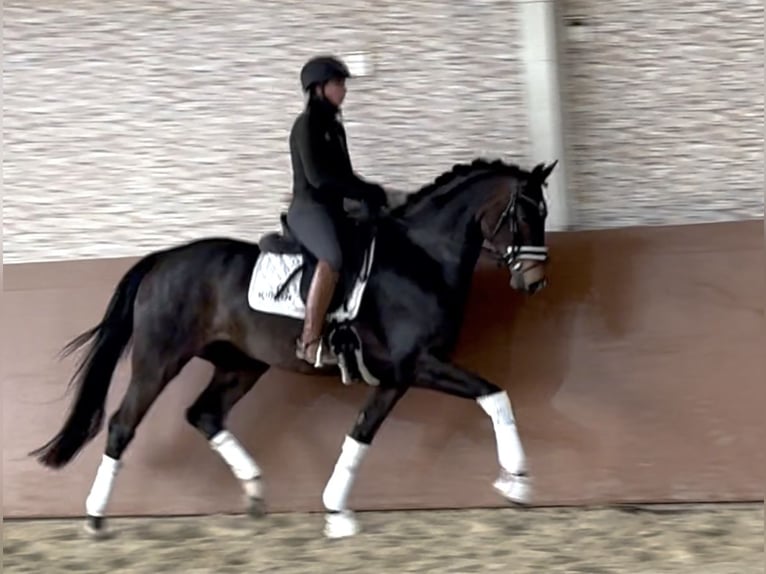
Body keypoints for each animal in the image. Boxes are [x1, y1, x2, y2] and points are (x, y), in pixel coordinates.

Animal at [30, 156, 560, 540]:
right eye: (525, 213)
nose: (535, 282)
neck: (422, 260)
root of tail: (162, 259)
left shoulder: (395, 376)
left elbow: (360, 434)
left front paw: (336, 511)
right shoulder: (419, 364)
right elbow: (495, 395)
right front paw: (517, 480)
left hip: (241, 364)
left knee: (204, 414)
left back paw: (255, 492)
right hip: (158, 359)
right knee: (123, 424)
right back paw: (95, 517)